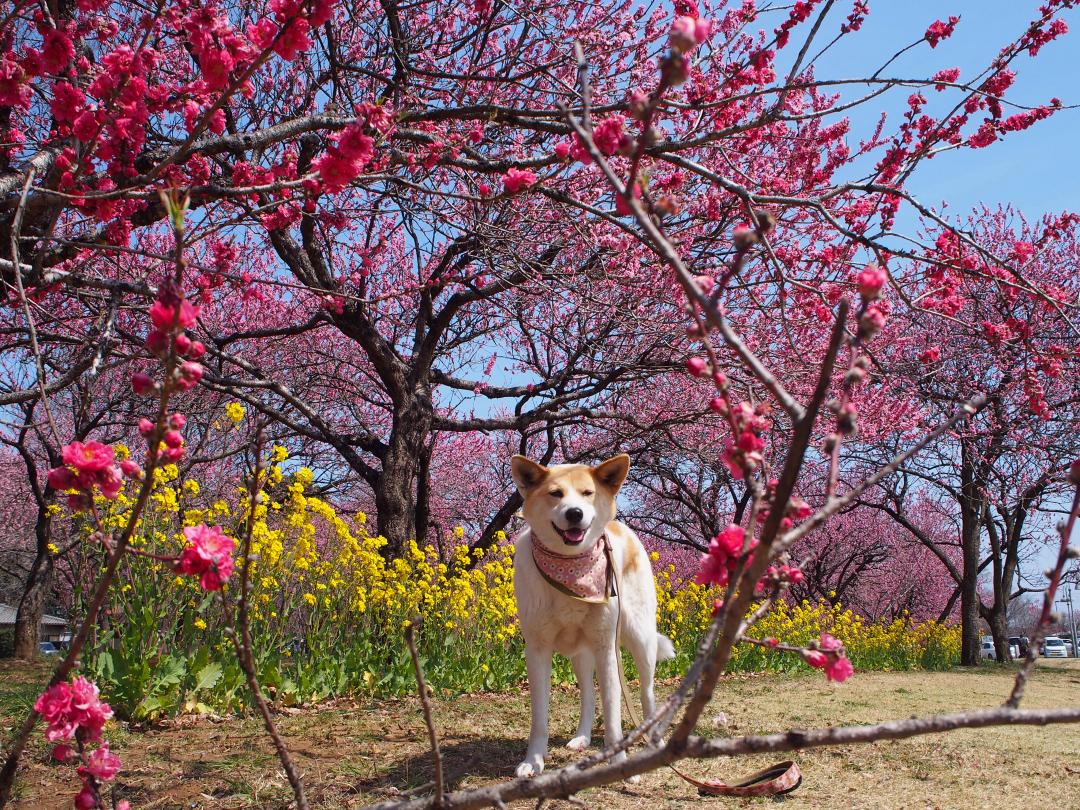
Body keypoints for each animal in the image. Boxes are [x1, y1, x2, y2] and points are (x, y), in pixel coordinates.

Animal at [507, 457, 673, 781]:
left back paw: (653, 741)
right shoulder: (537, 651)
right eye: (555, 494)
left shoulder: (606, 648)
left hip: (641, 641)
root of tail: (621, 527)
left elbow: (613, 716)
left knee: (646, 695)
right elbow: (539, 718)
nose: (575, 513)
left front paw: (619, 762)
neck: (571, 565)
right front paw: (533, 761)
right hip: (580, 654)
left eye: (587, 493)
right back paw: (582, 737)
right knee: (587, 694)